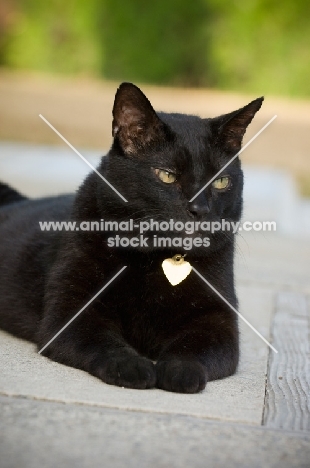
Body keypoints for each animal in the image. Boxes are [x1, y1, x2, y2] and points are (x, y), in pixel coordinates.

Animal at [0, 83, 262, 392]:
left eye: (221, 181)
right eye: (166, 175)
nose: (200, 209)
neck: (156, 260)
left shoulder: (217, 320)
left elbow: (193, 348)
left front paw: (179, 370)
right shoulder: (71, 311)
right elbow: (104, 341)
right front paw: (132, 367)